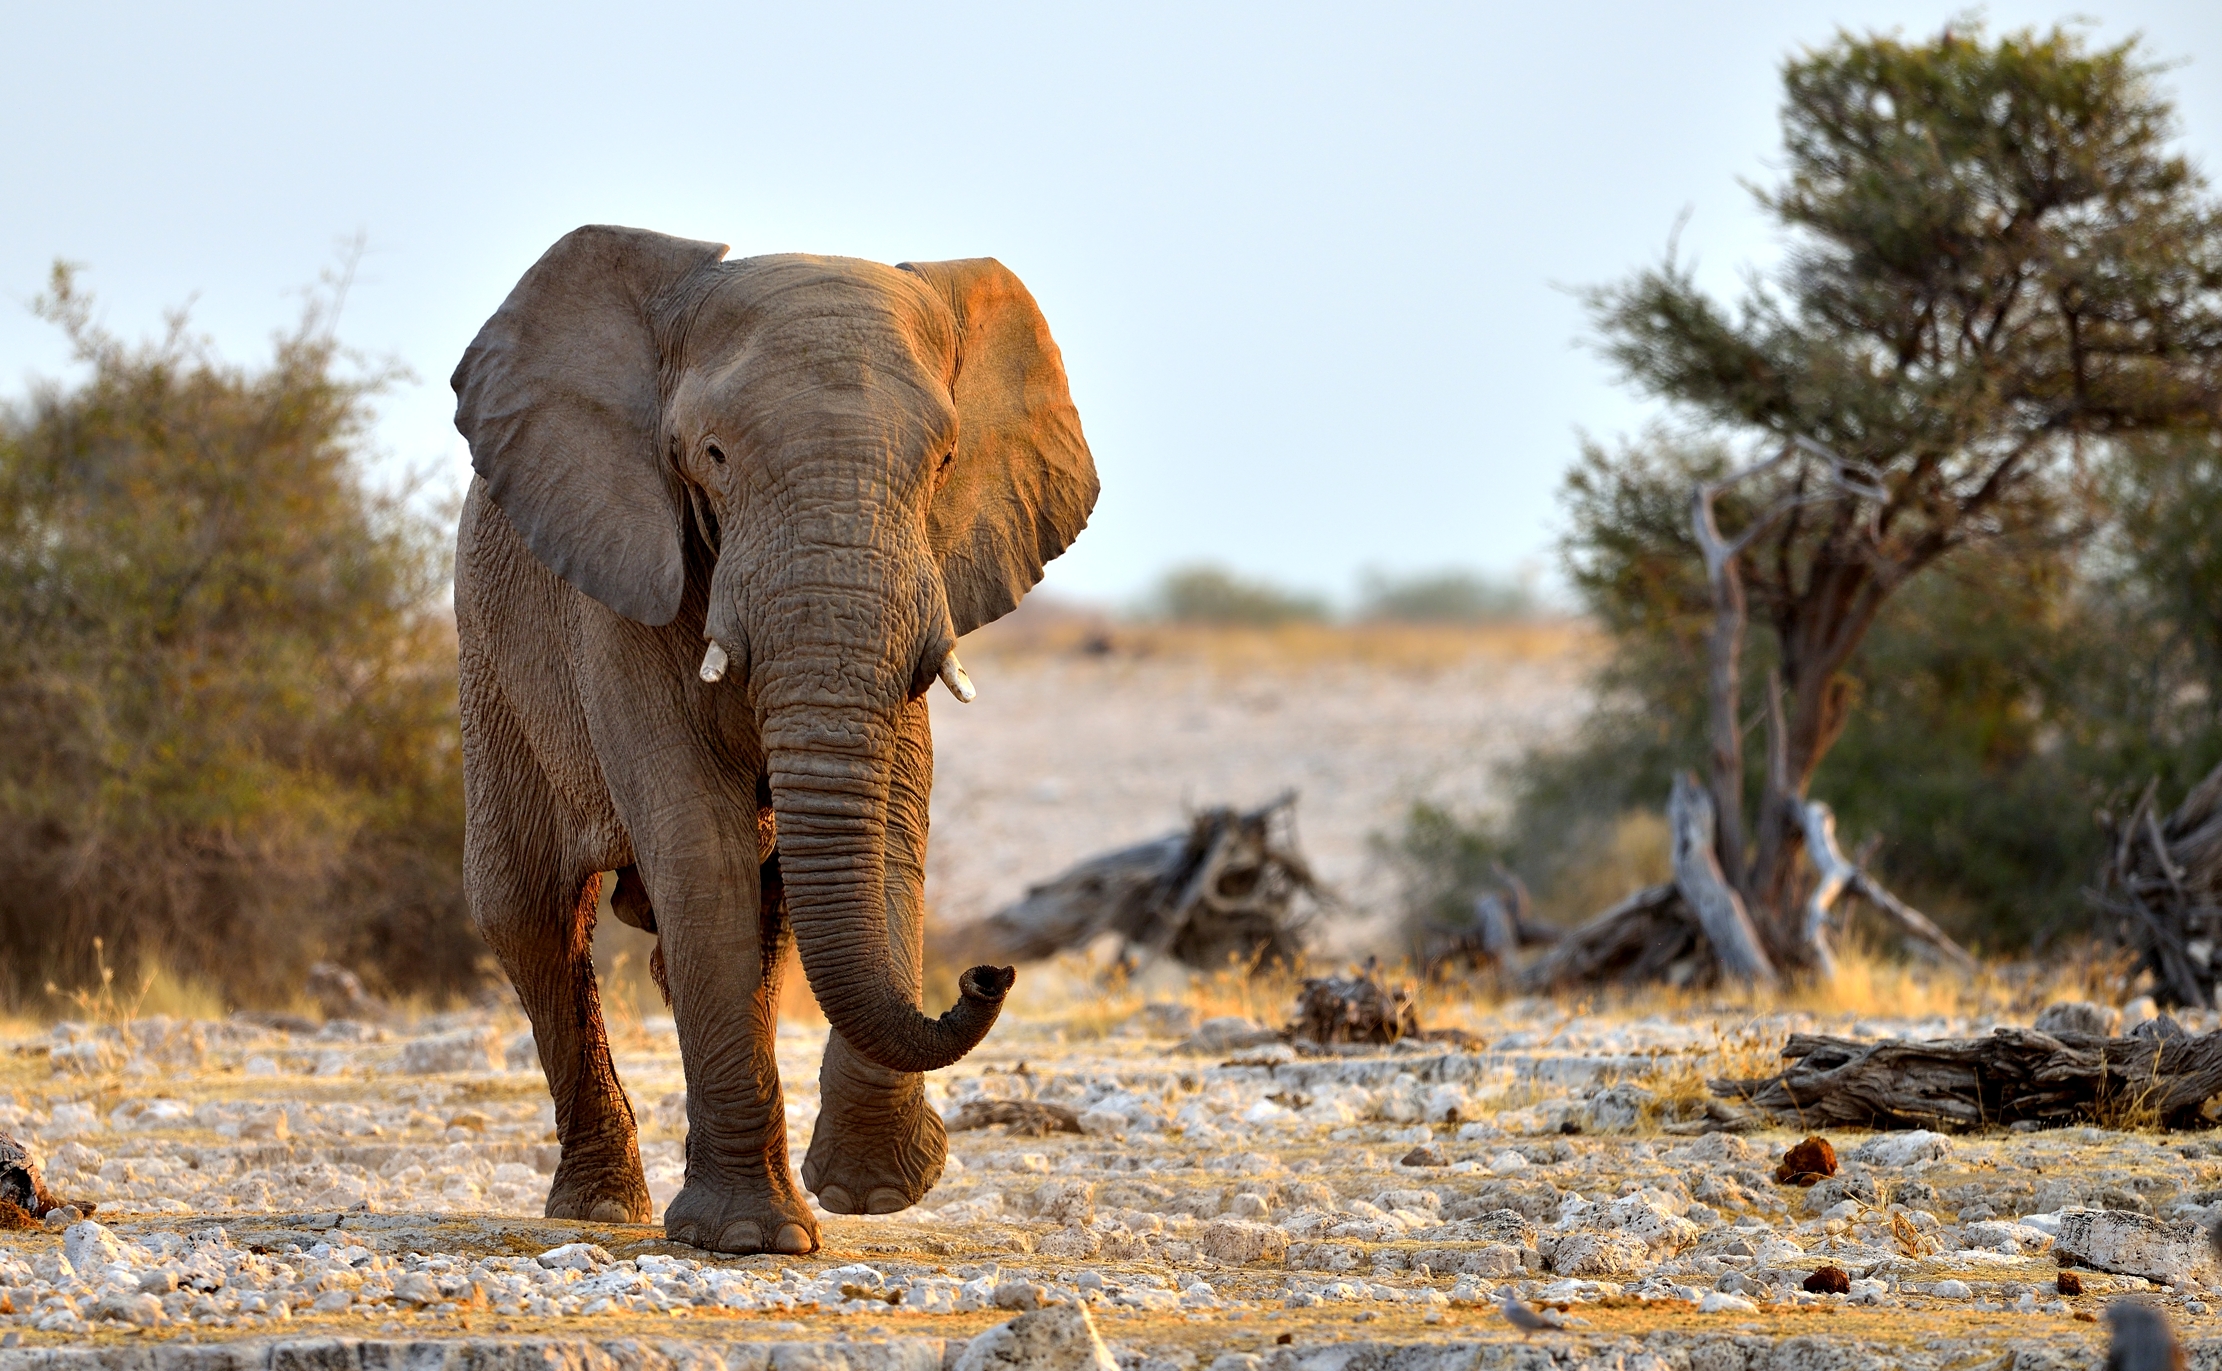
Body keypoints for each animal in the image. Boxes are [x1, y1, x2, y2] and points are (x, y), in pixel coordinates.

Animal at [448, 225, 1097, 1255]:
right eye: (711, 454)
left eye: (945, 460)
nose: (989, 971)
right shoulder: (623, 586)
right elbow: (697, 842)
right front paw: (753, 1238)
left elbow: (886, 829)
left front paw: (875, 1192)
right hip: (489, 661)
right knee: (531, 914)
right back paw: (602, 1207)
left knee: (756, 922)